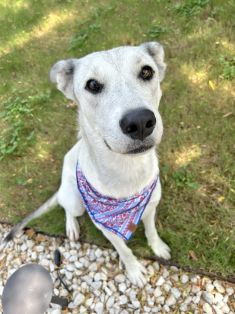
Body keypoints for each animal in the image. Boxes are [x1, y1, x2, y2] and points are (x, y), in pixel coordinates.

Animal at [4, 41, 171, 288]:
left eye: (147, 72)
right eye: (92, 85)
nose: (140, 122)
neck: (127, 172)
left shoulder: (150, 207)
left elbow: (151, 231)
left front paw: (157, 247)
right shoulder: (106, 228)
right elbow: (124, 250)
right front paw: (133, 270)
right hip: (75, 201)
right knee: (66, 208)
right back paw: (71, 227)